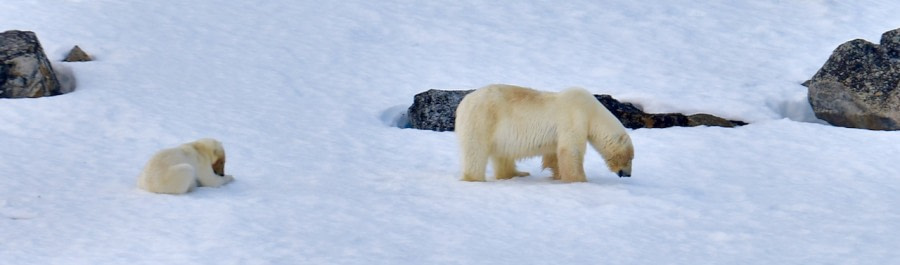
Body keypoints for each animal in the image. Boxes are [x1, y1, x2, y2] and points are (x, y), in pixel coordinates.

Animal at [458, 84, 632, 182]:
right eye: (630, 158)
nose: (628, 174)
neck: (592, 111)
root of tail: (463, 103)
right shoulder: (574, 117)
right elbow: (571, 150)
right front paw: (580, 180)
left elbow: (554, 154)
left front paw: (558, 175)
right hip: (483, 120)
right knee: (476, 152)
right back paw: (475, 178)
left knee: (503, 156)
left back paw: (518, 173)